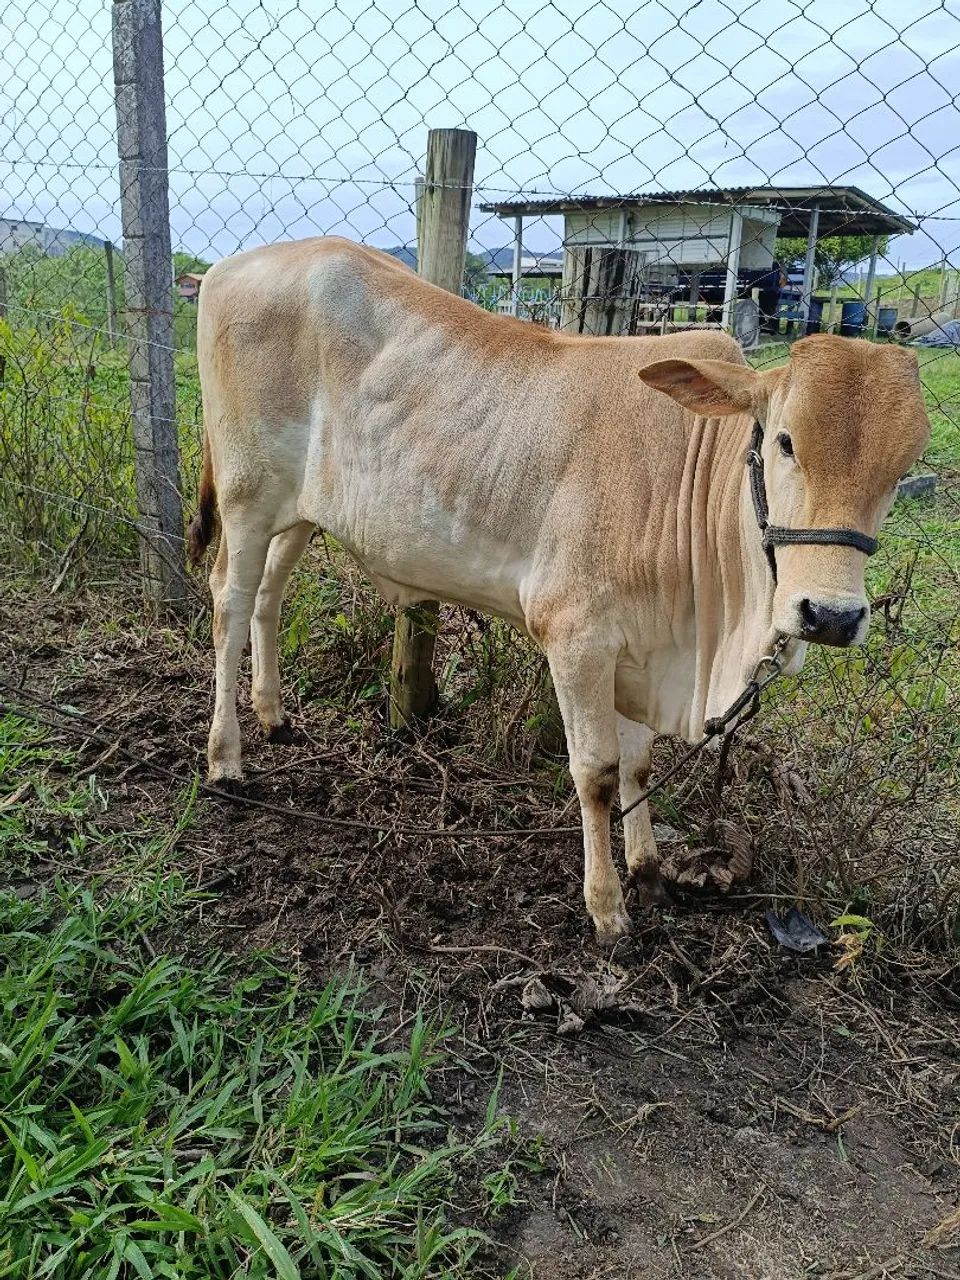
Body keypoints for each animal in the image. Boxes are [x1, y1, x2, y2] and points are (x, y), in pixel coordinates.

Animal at [188, 237, 930, 941]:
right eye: (783, 441)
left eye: (905, 468)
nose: (829, 615)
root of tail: (230, 266)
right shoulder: (575, 638)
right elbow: (597, 774)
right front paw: (607, 911)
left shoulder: (643, 649)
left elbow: (637, 769)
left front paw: (649, 873)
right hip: (247, 494)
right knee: (229, 600)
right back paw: (225, 758)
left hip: (300, 512)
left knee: (269, 595)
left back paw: (273, 715)